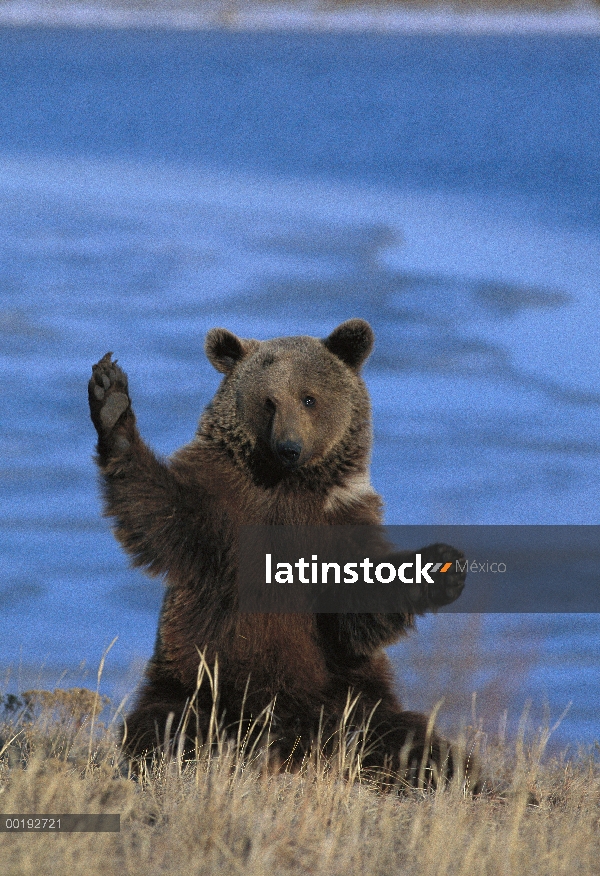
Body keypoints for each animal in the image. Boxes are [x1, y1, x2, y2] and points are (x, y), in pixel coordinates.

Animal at [89, 320, 472, 788]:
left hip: (348, 692)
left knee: (404, 738)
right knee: (166, 722)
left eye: (309, 397)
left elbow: (359, 604)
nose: (290, 447)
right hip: (198, 681)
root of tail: (293, 737)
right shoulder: (221, 510)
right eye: (268, 401)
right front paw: (111, 401)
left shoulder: (338, 522)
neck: (286, 485)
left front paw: (441, 567)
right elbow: (156, 505)